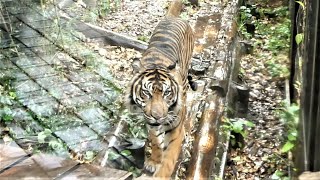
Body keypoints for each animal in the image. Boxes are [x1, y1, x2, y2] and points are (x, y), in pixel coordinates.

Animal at [127, 0, 195, 177]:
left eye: (167, 93)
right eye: (146, 93)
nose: (157, 116)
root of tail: (172, 17)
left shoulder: (176, 131)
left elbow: (169, 160)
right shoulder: (151, 124)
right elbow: (156, 142)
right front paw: (153, 162)